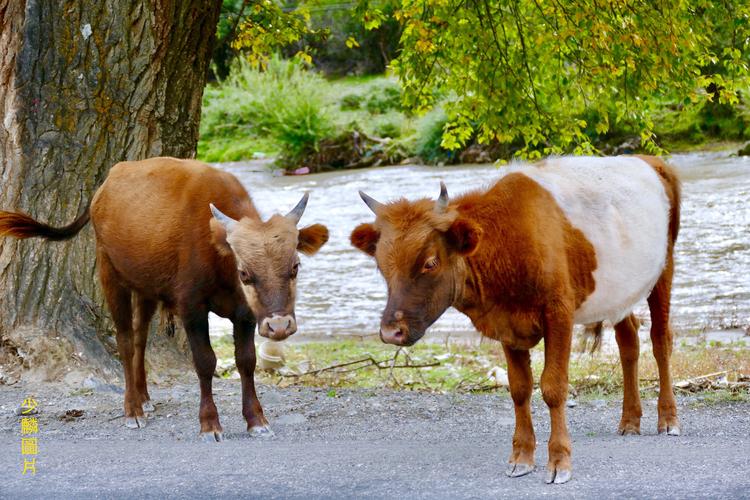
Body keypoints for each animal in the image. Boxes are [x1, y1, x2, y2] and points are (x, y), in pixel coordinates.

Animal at [0, 157, 328, 442]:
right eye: (244, 272)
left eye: (295, 266)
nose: (280, 326)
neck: (217, 254)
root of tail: (107, 184)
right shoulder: (192, 308)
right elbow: (205, 362)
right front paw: (209, 424)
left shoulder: (245, 314)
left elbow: (246, 361)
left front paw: (256, 420)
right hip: (110, 274)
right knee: (124, 339)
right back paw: (132, 410)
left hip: (146, 289)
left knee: (140, 338)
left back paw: (144, 398)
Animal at [352, 155, 680, 484]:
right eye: (381, 265)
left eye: (430, 263)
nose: (390, 332)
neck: (507, 241)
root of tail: (650, 160)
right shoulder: (506, 323)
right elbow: (520, 388)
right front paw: (521, 457)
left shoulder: (559, 313)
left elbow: (553, 387)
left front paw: (559, 461)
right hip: (618, 291)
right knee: (629, 342)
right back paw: (630, 420)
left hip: (664, 269)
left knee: (660, 340)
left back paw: (668, 419)